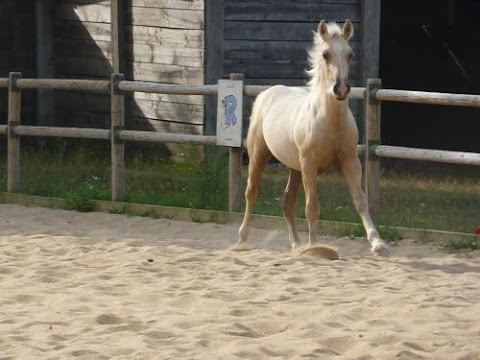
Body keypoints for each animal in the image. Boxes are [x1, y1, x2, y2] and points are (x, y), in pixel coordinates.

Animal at [236, 19, 390, 258]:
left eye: (350, 54)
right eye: (326, 54)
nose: (341, 89)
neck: (331, 122)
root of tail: (265, 94)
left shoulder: (350, 162)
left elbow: (361, 201)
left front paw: (378, 244)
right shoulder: (309, 165)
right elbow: (312, 207)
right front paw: (315, 247)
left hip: (295, 168)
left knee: (287, 202)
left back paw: (296, 245)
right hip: (259, 154)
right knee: (251, 192)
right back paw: (243, 240)